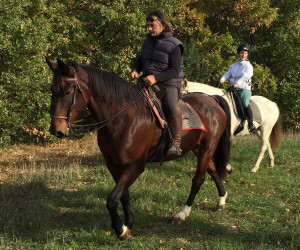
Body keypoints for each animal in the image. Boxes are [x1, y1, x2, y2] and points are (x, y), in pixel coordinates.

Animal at [45, 58, 231, 240]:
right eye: (52, 90)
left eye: (68, 91)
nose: (56, 130)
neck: (123, 118)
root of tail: (212, 100)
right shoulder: (113, 165)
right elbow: (123, 195)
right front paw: (128, 223)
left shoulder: (135, 166)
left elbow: (112, 199)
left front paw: (120, 230)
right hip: (198, 148)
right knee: (212, 170)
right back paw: (221, 200)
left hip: (207, 149)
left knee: (198, 180)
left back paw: (182, 214)